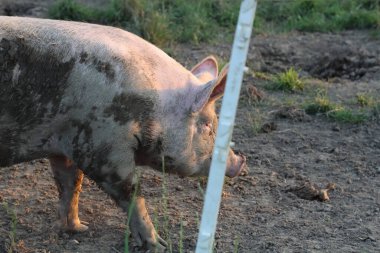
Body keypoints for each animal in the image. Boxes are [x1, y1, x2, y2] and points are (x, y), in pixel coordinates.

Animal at [0, 16, 246, 251]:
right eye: (209, 127)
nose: (240, 161)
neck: (155, 108)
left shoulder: (68, 141)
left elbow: (70, 184)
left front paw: (78, 229)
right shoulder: (104, 146)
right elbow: (131, 194)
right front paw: (160, 246)